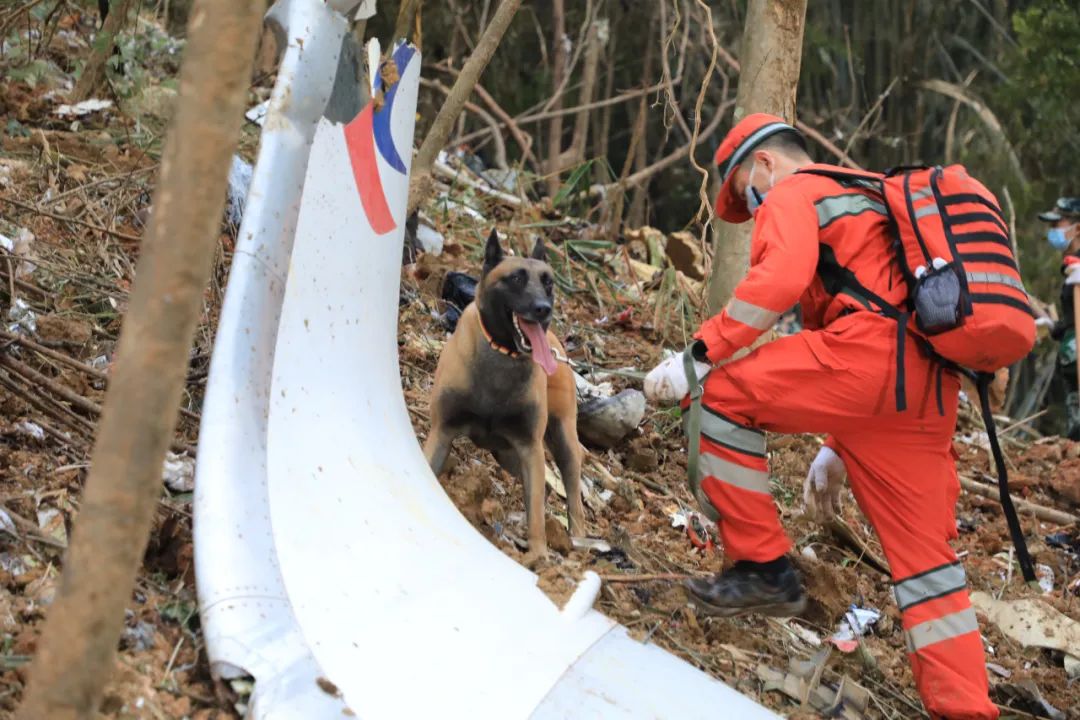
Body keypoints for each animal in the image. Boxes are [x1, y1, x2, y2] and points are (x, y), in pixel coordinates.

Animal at [425, 229, 587, 557]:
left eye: (548, 282)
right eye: (516, 279)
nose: (543, 309)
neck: (503, 353)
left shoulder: (530, 448)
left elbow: (536, 514)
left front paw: (538, 555)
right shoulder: (442, 432)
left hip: (561, 441)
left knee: (571, 494)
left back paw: (577, 540)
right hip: (506, 454)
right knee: (546, 490)